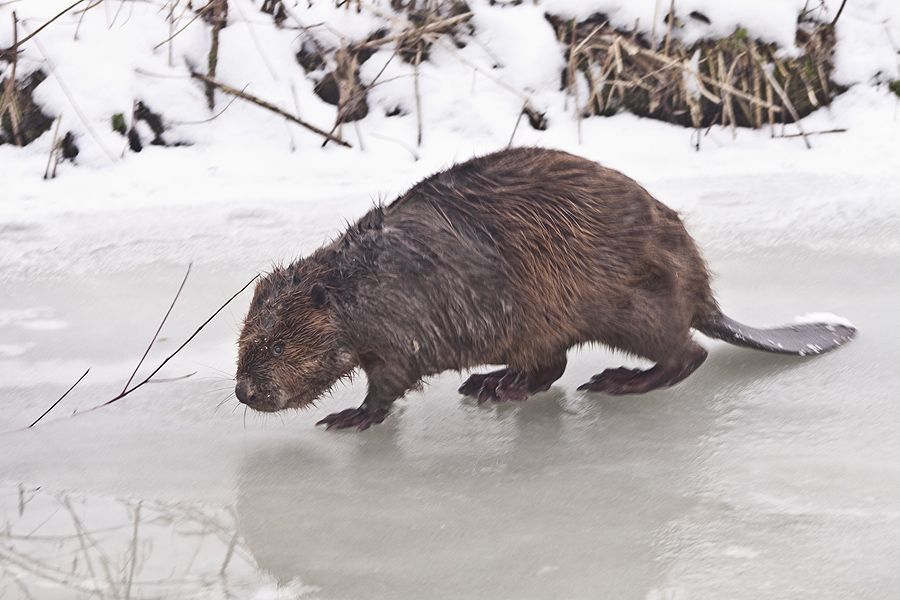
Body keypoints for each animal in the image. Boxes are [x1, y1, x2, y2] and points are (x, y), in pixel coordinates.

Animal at [234, 147, 856, 428]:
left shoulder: (404, 321)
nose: (245, 392)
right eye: (243, 346)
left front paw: (351, 416)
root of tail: (707, 301)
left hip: (626, 306)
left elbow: (391, 376)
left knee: (686, 353)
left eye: (278, 345)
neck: (360, 282)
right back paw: (493, 383)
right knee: (549, 363)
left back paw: (615, 380)